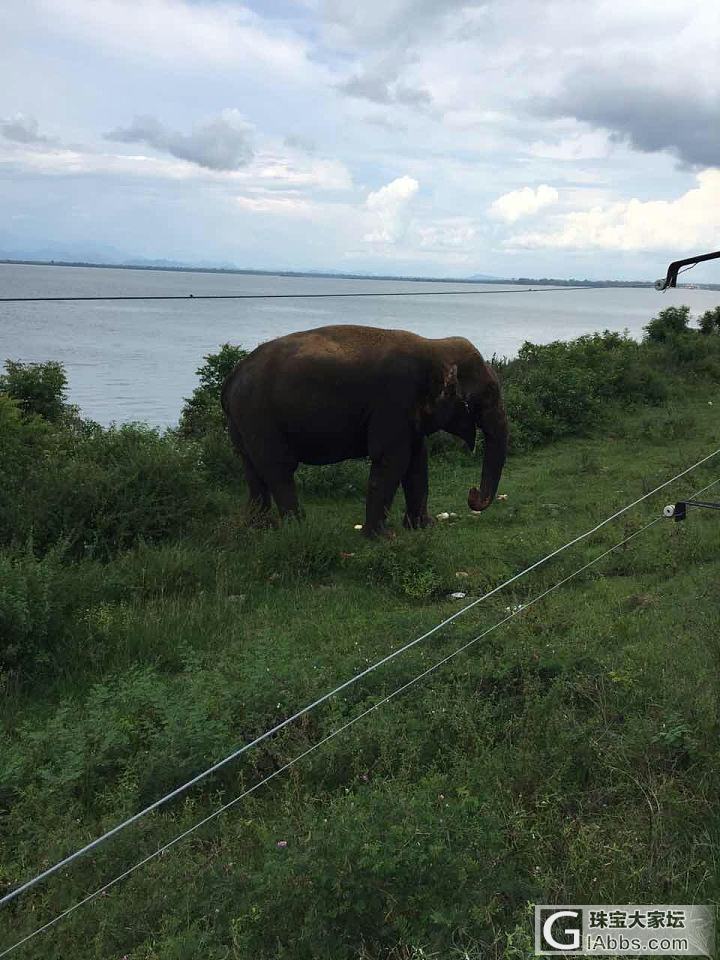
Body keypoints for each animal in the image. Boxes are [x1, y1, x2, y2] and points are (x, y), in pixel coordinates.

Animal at [222, 322, 510, 532]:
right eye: (486, 396)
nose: (472, 494)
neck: (434, 346)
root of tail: (232, 376)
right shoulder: (394, 399)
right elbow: (393, 458)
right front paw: (382, 537)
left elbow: (418, 460)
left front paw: (422, 528)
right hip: (258, 414)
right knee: (278, 467)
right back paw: (298, 528)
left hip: (241, 421)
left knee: (252, 467)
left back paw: (259, 527)